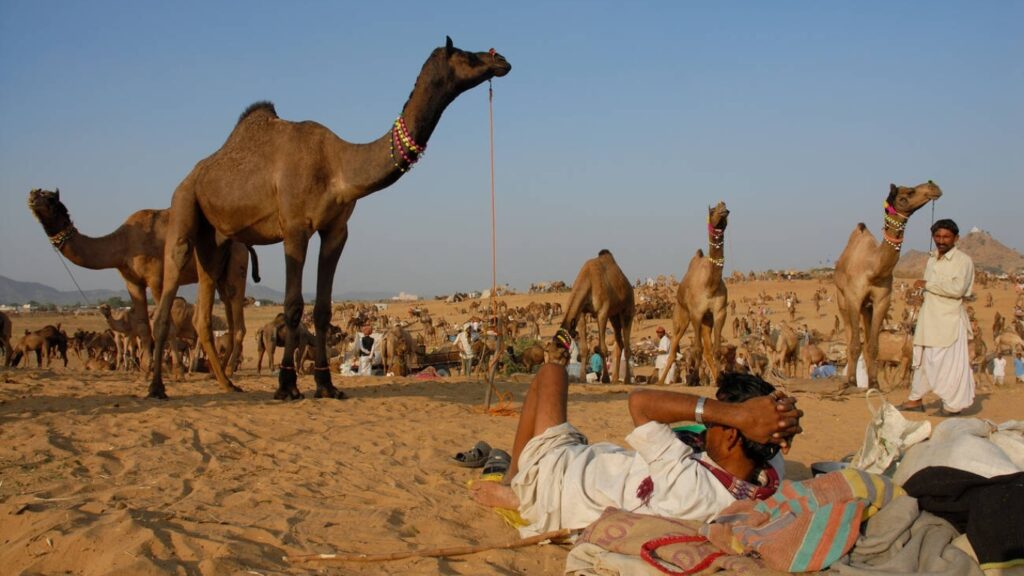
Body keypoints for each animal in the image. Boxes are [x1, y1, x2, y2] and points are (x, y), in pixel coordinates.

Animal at [28, 186, 256, 375]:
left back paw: (228, 370)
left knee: (237, 313)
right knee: (228, 310)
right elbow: (143, 326)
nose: (32, 196)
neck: (123, 243)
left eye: (50, 199)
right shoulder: (133, 281)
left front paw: (176, 370)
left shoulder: (156, 278)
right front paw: (147, 369)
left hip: (237, 265)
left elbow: (166, 325)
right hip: (221, 274)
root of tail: (244, 245)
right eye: (38, 192)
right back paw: (220, 369)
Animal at [145, 35, 512, 399]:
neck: (338, 165)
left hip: (217, 241)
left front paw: (325, 384)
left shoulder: (336, 230)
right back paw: (157, 387)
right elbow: (294, 306)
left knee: (203, 307)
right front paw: (287, 385)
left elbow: (322, 308)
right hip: (184, 204)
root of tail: (194, 175)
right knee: (168, 290)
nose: (501, 60)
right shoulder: (295, 227)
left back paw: (227, 383)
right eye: (466, 55)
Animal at [561, 249, 630, 383]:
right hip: (614, 316)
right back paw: (615, 379)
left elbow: (602, 348)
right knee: (620, 343)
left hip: (628, 309)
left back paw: (626, 380)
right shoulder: (582, 312)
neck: (588, 278)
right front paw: (582, 378)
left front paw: (605, 379)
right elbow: (583, 348)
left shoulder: (602, 312)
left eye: (563, 352)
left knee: (627, 345)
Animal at [655, 201, 729, 385]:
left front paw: (720, 381)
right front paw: (693, 379)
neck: (710, 285)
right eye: (712, 210)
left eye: (727, 208)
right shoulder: (696, 313)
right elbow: (697, 349)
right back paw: (661, 382)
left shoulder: (719, 312)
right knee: (673, 349)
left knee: (708, 349)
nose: (723, 208)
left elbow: (716, 349)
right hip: (681, 316)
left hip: (706, 321)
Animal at [831, 182, 942, 389]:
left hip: (867, 307)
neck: (873, 269)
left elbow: (874, 346)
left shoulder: (882, 300)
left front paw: (874, 383)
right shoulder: (853, 297)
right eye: (906, 194)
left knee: (866, 339)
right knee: (850, 336)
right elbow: (855, 344)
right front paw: (851, 382)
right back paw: (848, 379)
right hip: (842, 299)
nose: (933, 186)